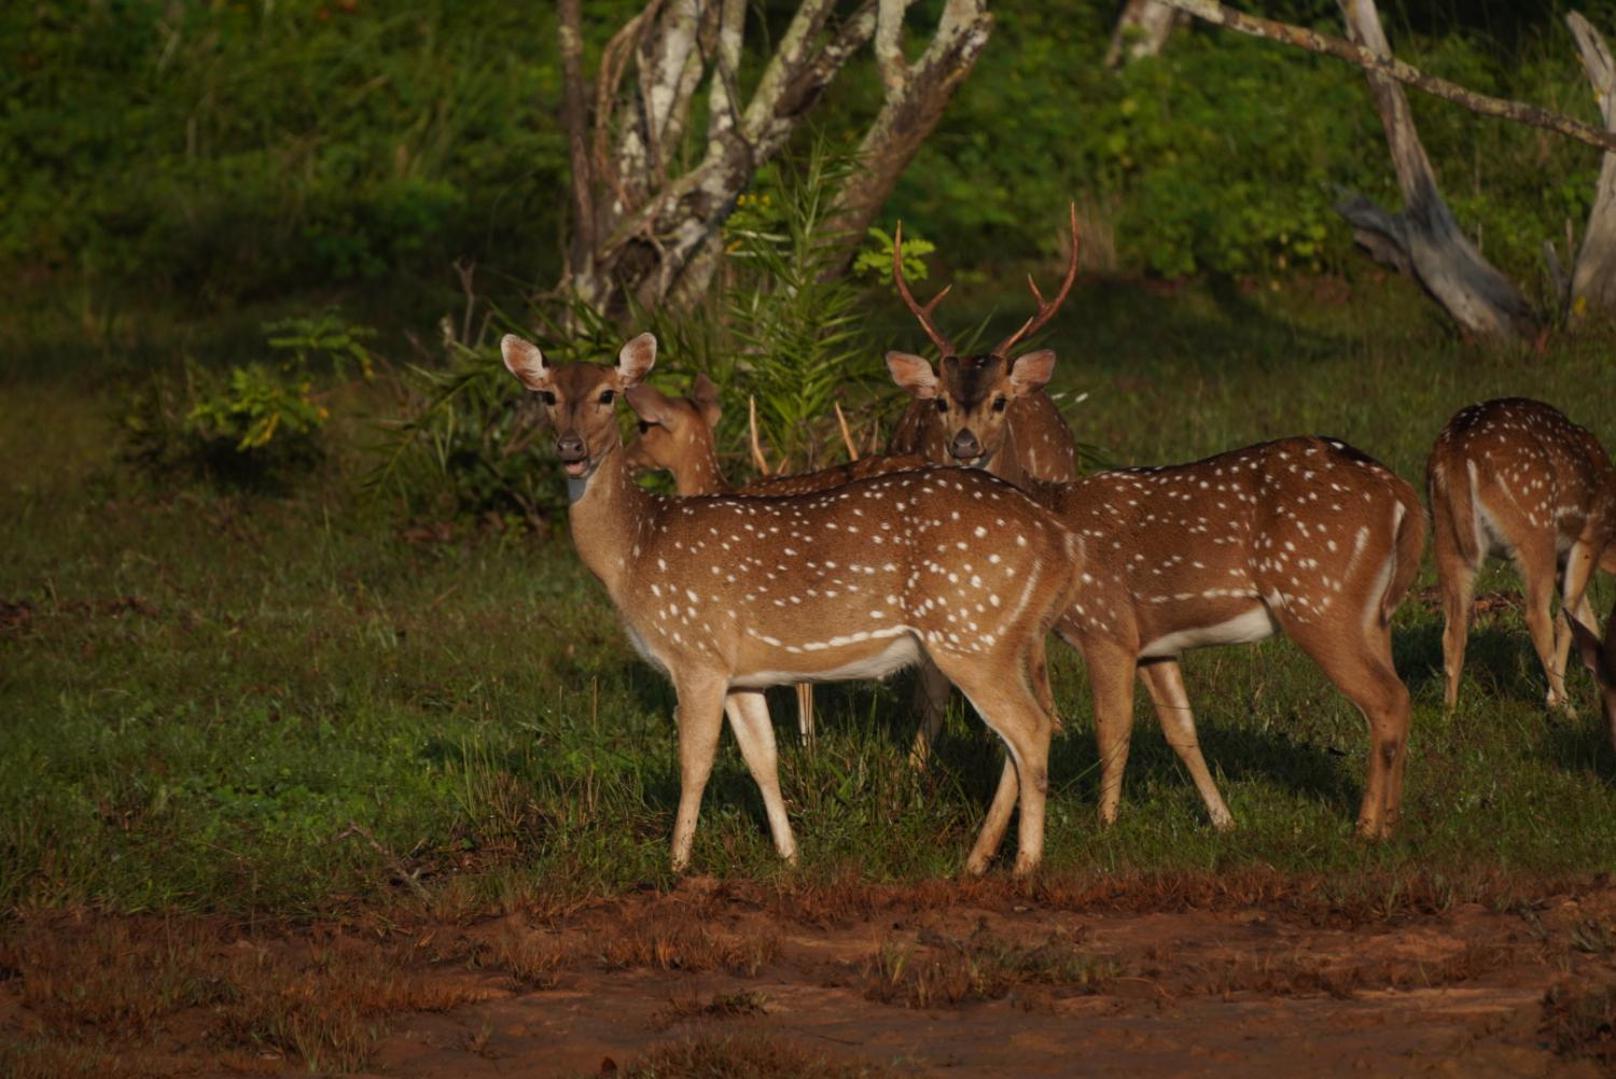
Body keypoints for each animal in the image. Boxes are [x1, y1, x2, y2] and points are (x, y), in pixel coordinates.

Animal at [504, 331, 1085, 878]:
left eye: (608, 394)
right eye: (547, 395)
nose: (571, 448)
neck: (636, 550)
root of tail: (1062, 541)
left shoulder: (696, 652)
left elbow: (695, 761)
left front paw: (677, 863)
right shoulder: (742, 674)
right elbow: (763, 758)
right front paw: (789, 855)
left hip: (970, 631)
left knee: (1033, 729)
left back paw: (1024, 864)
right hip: (1002, 636)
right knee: (1025, 732)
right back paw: (979, 858)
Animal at [1428, 400, 1616, 736]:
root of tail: (1455, 452)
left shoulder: (1565, 559)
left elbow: (1586, 617)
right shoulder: (1589, 538)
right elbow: (1568, 616)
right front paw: (1556, 700)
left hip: (1446, 534)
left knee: (1454, 625)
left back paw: (1449, 714)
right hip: (1535, 526)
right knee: (1536, 615)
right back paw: (1567, 709)